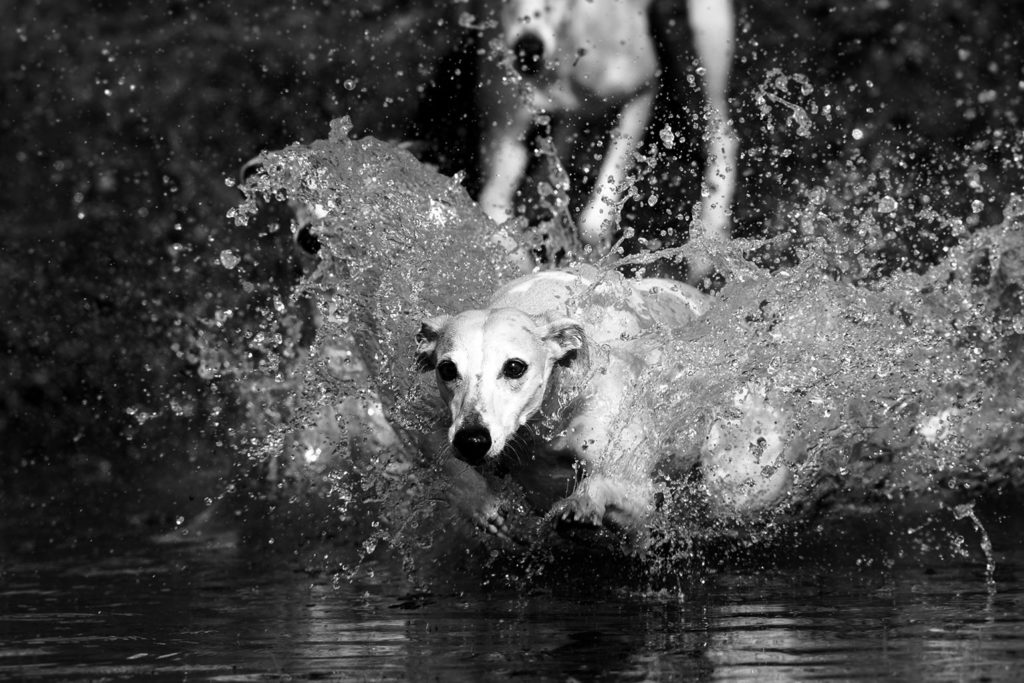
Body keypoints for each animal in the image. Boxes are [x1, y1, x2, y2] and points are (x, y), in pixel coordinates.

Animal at [415, 266, 790, 540]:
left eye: (515, 367)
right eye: (447, 369)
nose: (473, 440)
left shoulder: (634, 484)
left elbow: (613, 487)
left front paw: (582, 503)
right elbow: (436, 448)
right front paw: (480, 503)